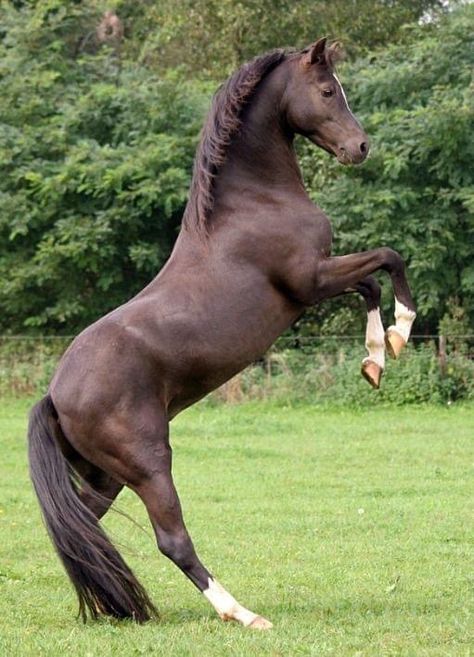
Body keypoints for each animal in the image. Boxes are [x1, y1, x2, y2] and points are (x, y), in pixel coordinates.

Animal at [27, 37, 416, 632]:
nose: (361, 147)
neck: (253, 203)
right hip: (149, 465)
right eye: (329, 90)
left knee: (85, 527)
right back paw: (244, 614)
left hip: (105, 475)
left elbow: (371, 283)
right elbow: (387, 260)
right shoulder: (310, 281)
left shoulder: (320, 281)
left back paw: (114, 607)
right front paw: (401, 331)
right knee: (172, 540)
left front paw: (376, 359)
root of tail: (55, 394)